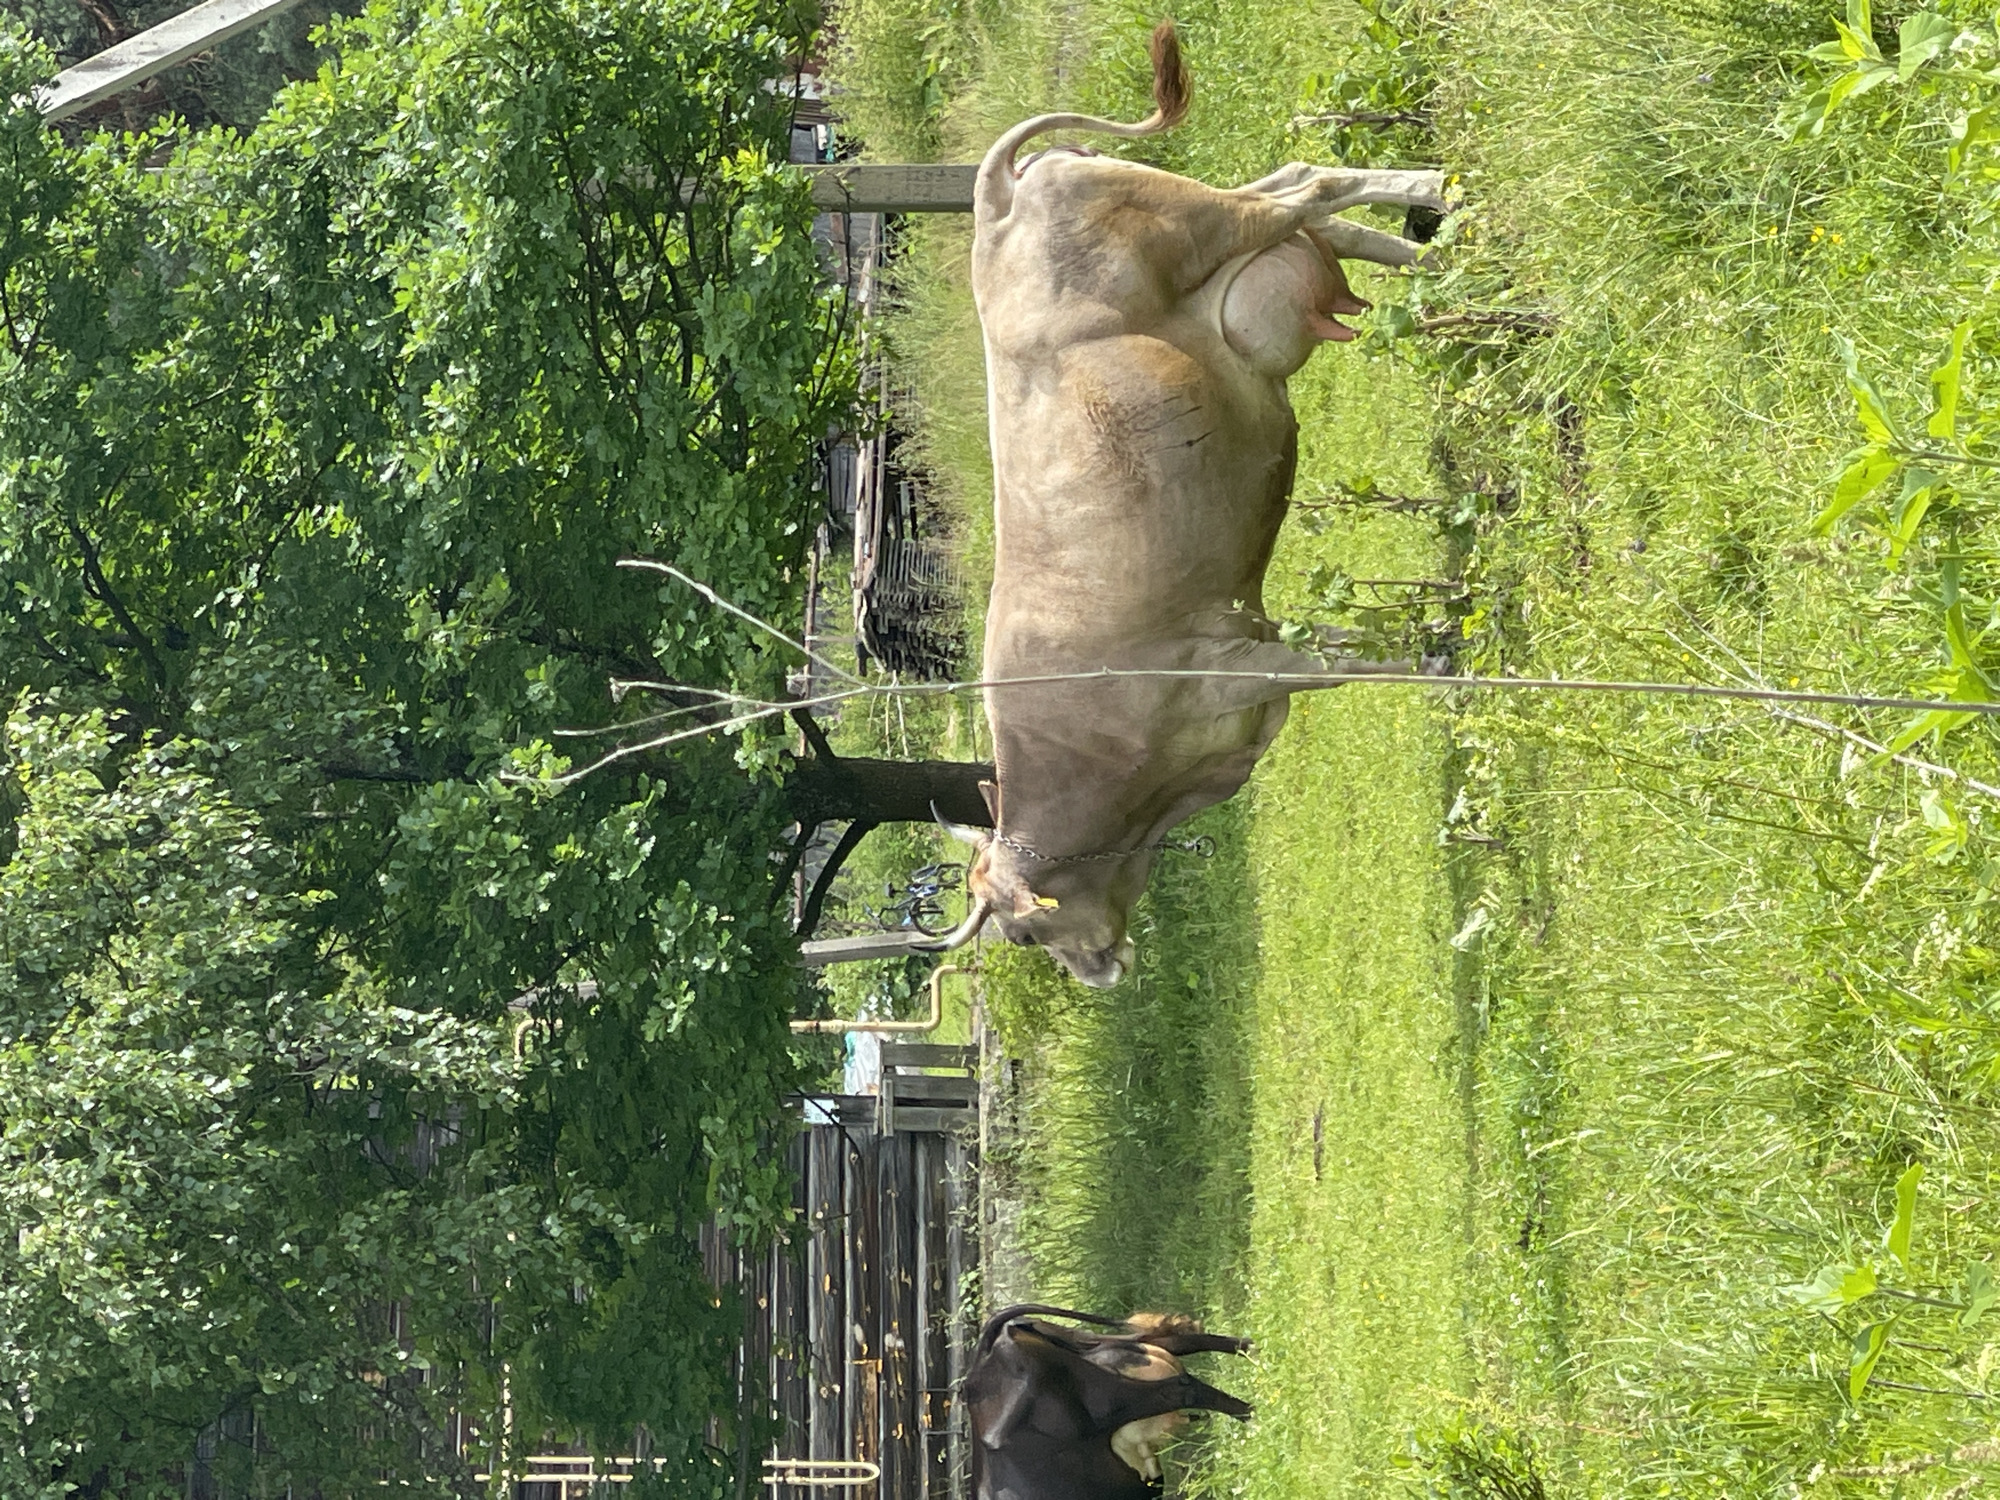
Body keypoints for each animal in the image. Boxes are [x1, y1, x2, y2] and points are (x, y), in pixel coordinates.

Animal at [919, 22, 1452, 987]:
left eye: (1024, 936)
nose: (1101, 972)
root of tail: (996, 200)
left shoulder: (1235, 668)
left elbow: (1348, 665)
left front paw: (1446, 663)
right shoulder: (1250, 632)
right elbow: (1351, 638)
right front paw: (1434, 635)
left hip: (1200, 222)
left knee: (1313, 182)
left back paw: (1435, 195)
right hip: (1222, 231)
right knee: (1311, 204)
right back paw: (1449, 254)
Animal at [966, 1304, 1254, 1499]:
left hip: (1110, 1401)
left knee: (1181, 1389)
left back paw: (1255, 1415)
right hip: (1096, 1342)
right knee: (1175, 1341)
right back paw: (1254, 1349)